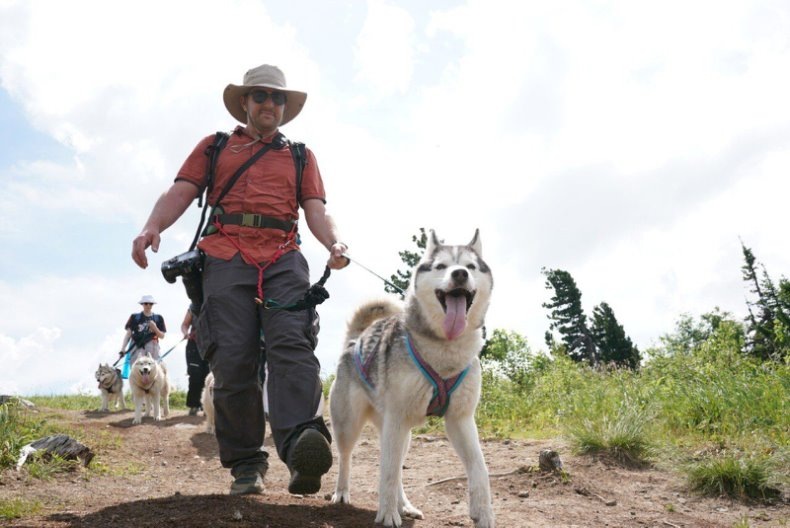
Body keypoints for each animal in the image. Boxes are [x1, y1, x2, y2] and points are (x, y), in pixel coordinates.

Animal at [328, 231, 496, 528]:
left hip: (401, 433)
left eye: (470, 266)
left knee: (397, 470)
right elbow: (387, 473)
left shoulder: (461, 420)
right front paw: (387, 515)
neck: (445, 349)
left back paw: (404, 505)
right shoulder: (396, 418)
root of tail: (354, 341)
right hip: (351, 426)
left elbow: (480, 468)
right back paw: (343, 492)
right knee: (348, 458)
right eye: (441, 266)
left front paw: (483, 513)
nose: (460, 274)